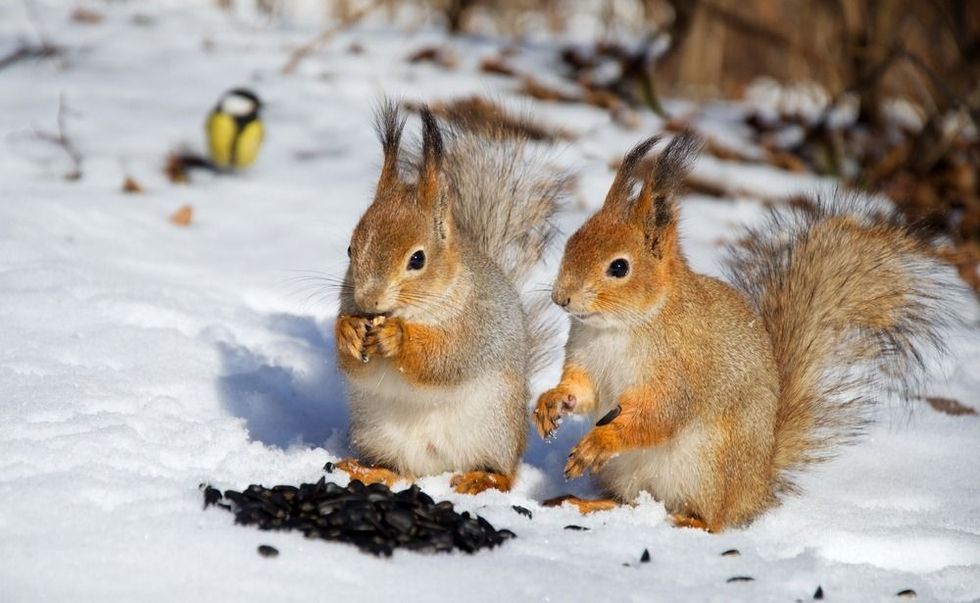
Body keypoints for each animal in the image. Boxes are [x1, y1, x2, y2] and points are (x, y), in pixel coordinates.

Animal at [334, 100, 564, 496]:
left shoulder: (477, 324)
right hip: (378, 434)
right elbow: (350, 364)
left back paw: (482, 478)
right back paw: (370, 471)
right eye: (351, 249)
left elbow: (446, 359)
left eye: (417, 259)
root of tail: (435, 466)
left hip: (493, 429)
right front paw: (348, 331)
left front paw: (397, 338)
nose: (369, 300)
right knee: (401, 471)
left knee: (504, 473)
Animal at [532, 131, 952, 528]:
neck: (620, 328)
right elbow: (582, 392)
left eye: (619, 267)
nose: (560, 298)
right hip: (631, 473)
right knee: (629, 501)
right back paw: (587, 503)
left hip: (709, 467)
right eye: (572, 241)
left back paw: (689, 520)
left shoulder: (681, 372)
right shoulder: (587, 359)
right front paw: (550, 403)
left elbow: (660, 415)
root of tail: (757, 488)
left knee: (715, 520)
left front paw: (599, 440)